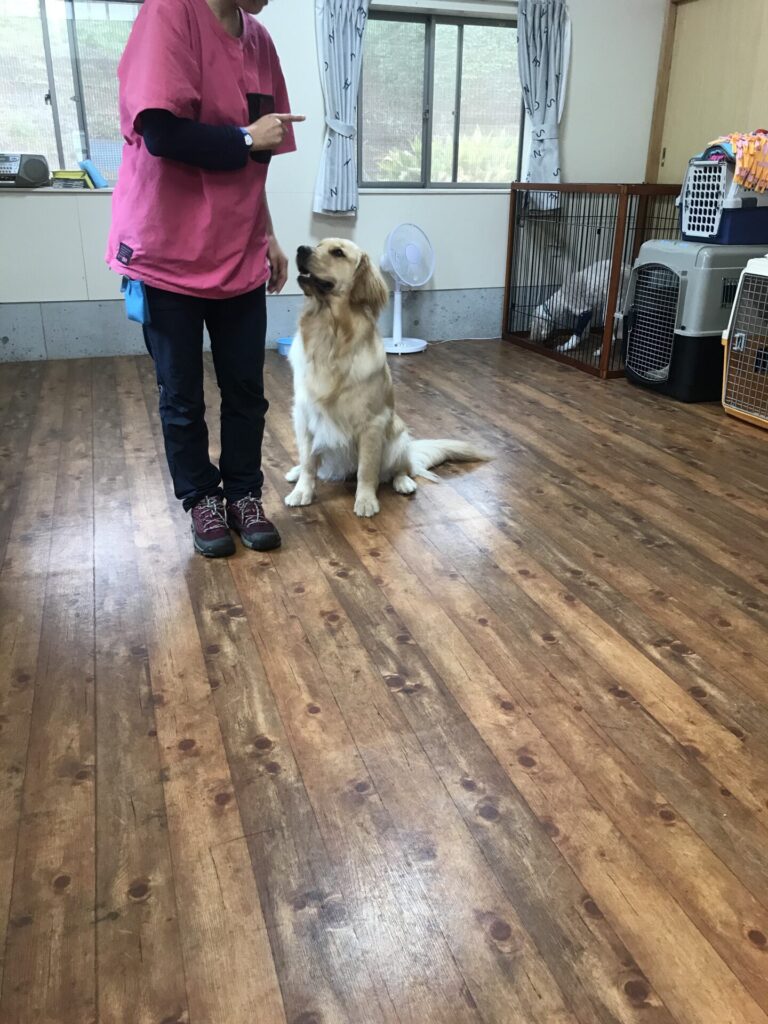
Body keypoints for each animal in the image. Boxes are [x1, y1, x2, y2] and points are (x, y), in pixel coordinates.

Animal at [284, 238, 486, 518]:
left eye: (338, 252)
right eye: (318, 244)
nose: (301, 249)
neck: (330, 334)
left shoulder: (372, 423)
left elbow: (367, 470)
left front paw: (366, 501)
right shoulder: (303, 417)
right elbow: (307, 462)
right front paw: (301, 491)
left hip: (398, 438)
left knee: (400, 468)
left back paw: (404, 482)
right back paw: (293, 473)